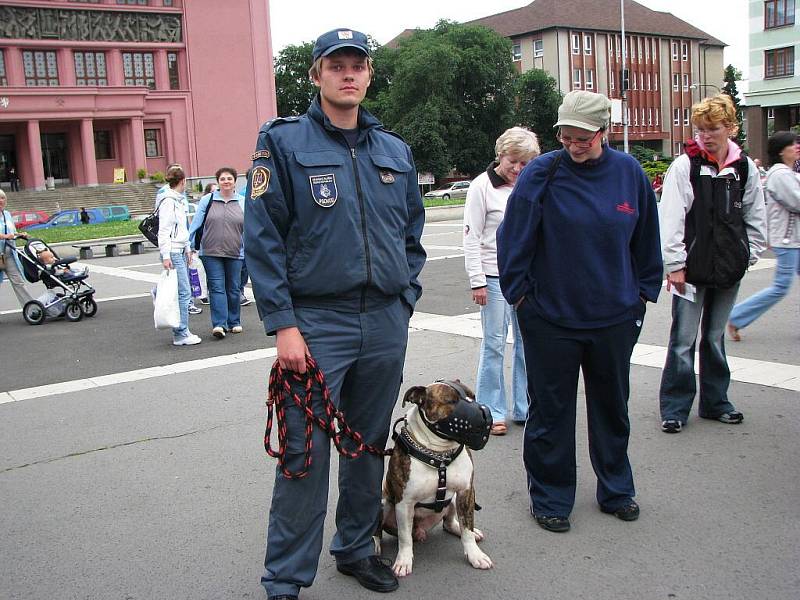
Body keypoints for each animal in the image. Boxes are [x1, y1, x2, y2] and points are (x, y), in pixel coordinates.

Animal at [376, 382, 490, 580]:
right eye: (451, 401)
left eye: (473, 397)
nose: (485, 414)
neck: (440, 454)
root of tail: (422, 530)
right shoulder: (404, 503)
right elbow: (405, 537)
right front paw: (403, 561)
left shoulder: (466, 491)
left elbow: (467, 528)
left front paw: (475, 554)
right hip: (384, 503)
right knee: (382, 531)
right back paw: (374, 546)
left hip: (453, 500)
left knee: (449, 523)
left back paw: (462, 529)